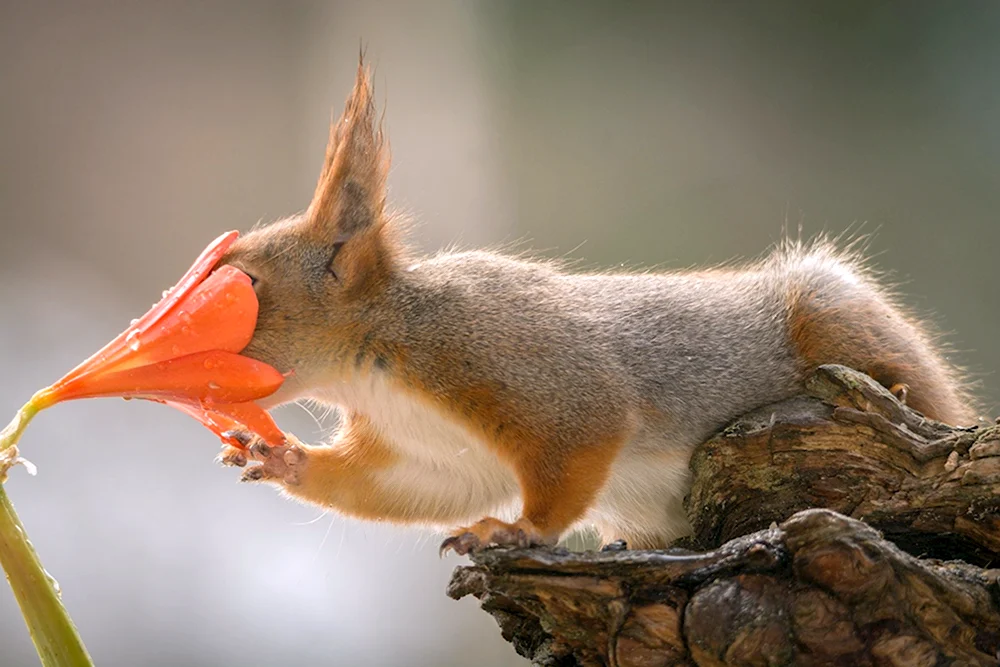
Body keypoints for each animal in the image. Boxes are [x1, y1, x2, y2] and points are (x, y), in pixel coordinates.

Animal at [213, 61, 976, 552]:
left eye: (245, 286)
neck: (374, 359)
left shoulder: (515, 359)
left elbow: (581, 440)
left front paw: (521, 530)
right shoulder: (427, 453)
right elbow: (407, 489)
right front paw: (281, 459)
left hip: (831, 318)